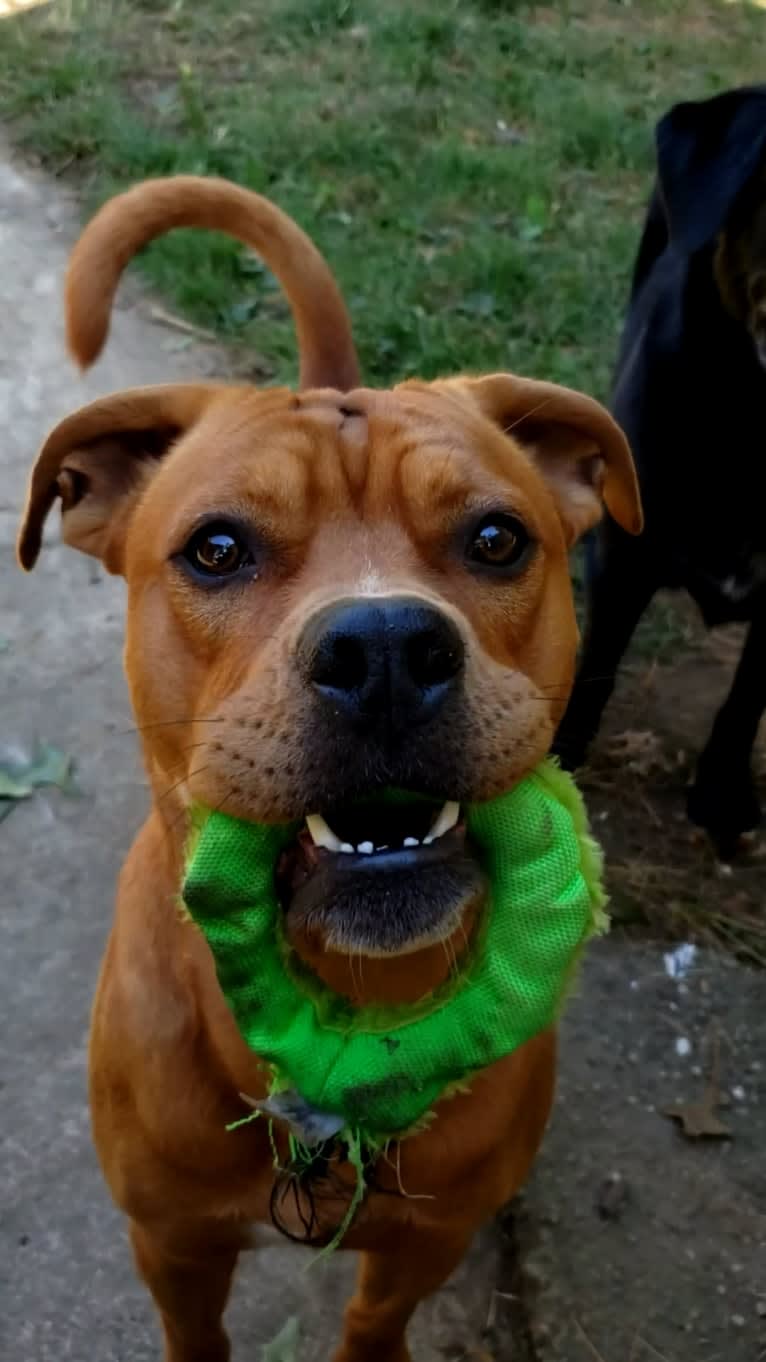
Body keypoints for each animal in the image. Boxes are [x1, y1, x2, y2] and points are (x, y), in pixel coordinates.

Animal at [16, 178, 637, 1362]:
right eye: (216, 548)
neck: (346, 1027)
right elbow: (196, 1333)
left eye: (497, 538)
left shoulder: (426, 1241)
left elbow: (372, 1320)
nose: (385, 647)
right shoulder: (172, 1245)